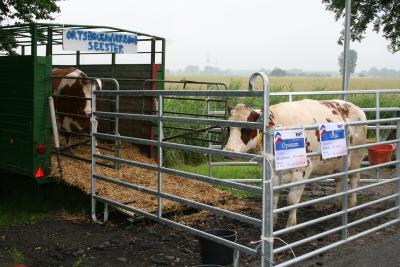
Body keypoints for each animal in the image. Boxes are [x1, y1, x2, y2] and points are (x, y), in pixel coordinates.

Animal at [223, 99, 368, 227]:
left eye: (247, 128)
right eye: (229, 128)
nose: (229, 151)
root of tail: (356, 107)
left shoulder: (303, 170)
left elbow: (291, 200)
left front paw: (290, 225)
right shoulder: (273, 173)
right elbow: (273, 198)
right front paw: (273, 221)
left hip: (357, 155)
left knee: (354, 179)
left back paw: (352, 206)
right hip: (340, 161)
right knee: (340, 179)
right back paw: (336, 205)